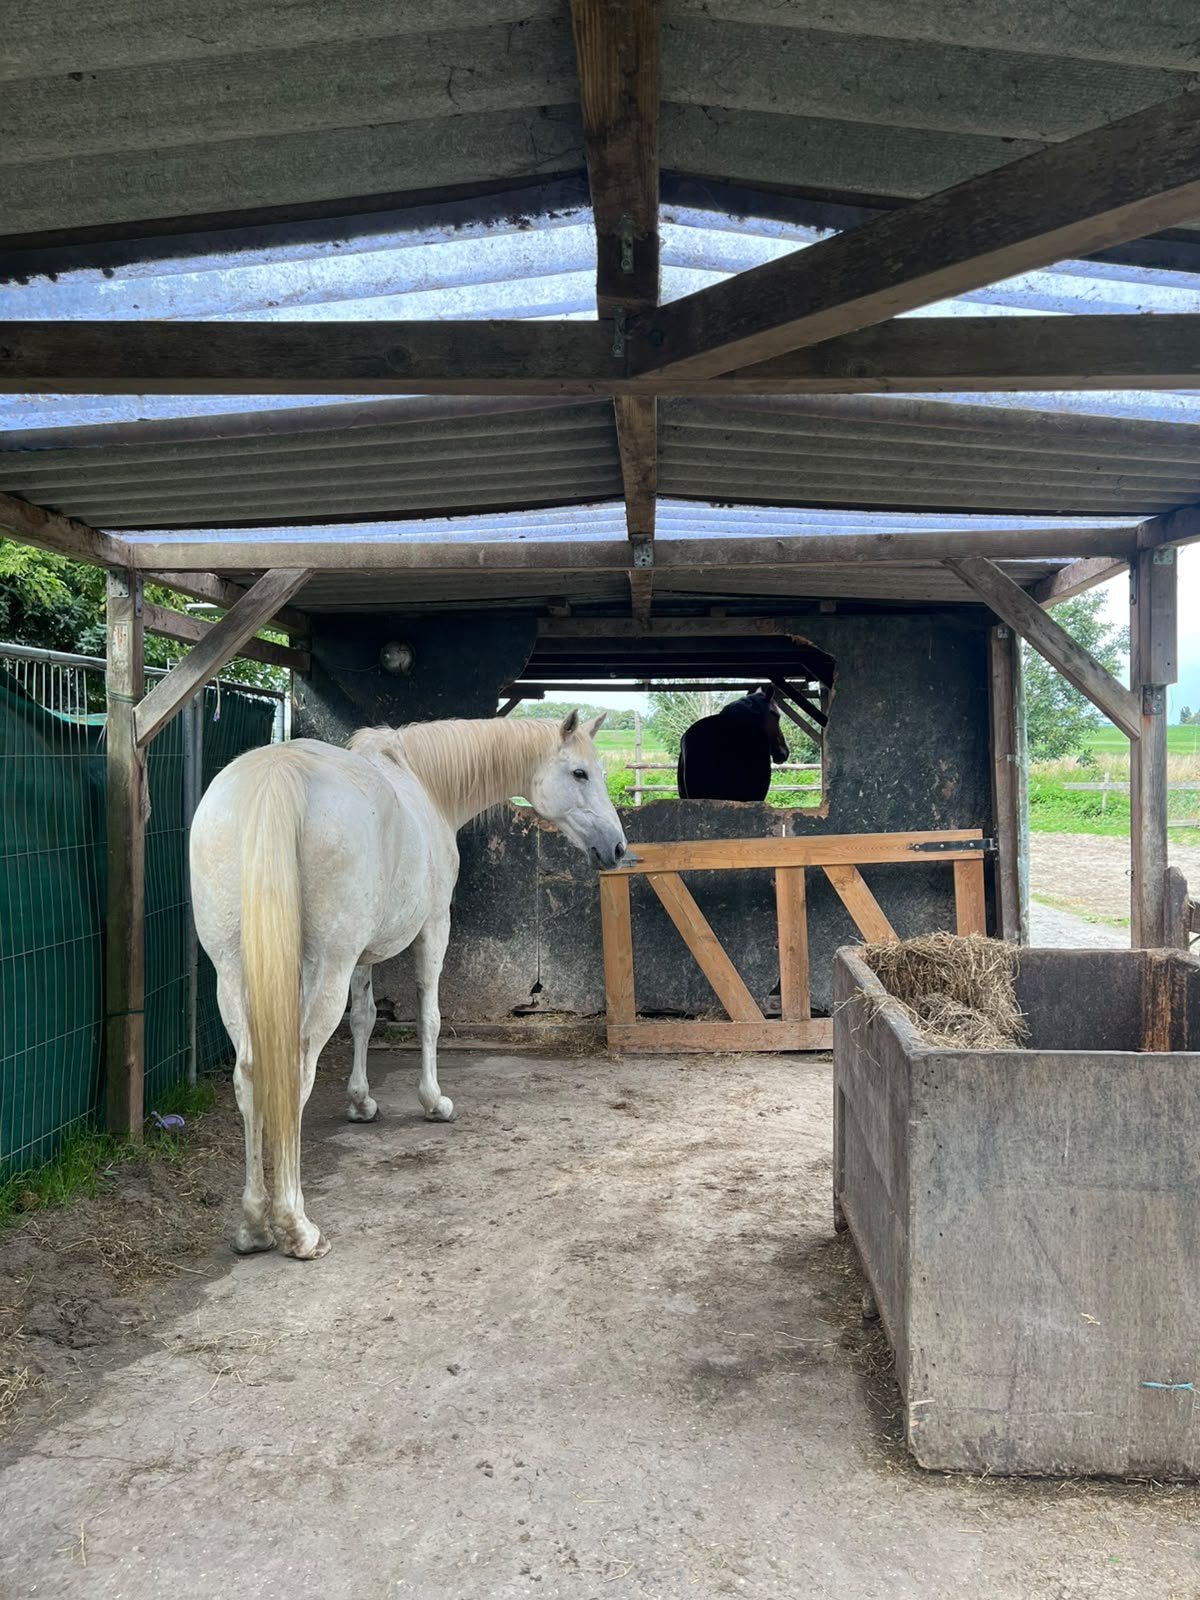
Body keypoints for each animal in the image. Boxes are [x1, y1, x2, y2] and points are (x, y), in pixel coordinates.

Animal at [189, 710, 626, 1260]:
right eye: (580, 774)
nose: (617, 848)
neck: (424, 784)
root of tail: (276, 773)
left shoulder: (361, 955)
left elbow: (364, 1019)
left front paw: (361, 1103)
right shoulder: (433, 927)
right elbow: (429, 1017)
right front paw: (434, 1102)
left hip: (232, 971)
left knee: (248, 1076)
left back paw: (252, 1226)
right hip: (322, 967)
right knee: (293, 1071)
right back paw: (297, 1228)